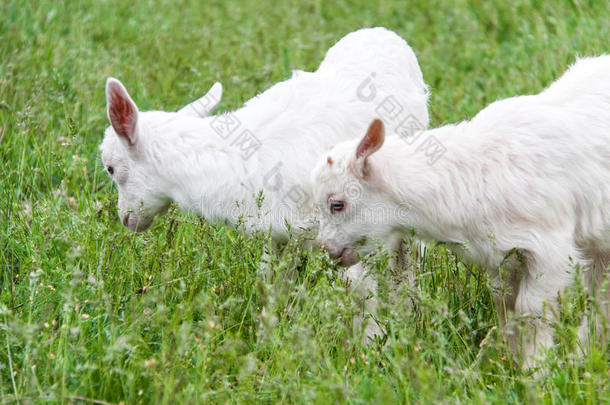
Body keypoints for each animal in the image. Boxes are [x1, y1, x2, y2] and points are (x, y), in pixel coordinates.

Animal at [314, 55, 608, 368]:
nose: (326, 249)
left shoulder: (550, 249)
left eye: (337, 204)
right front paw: (507, 360)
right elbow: (504, 303)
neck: (475, 174)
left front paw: (534, 369)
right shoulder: (506, 255)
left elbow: (532, 311)